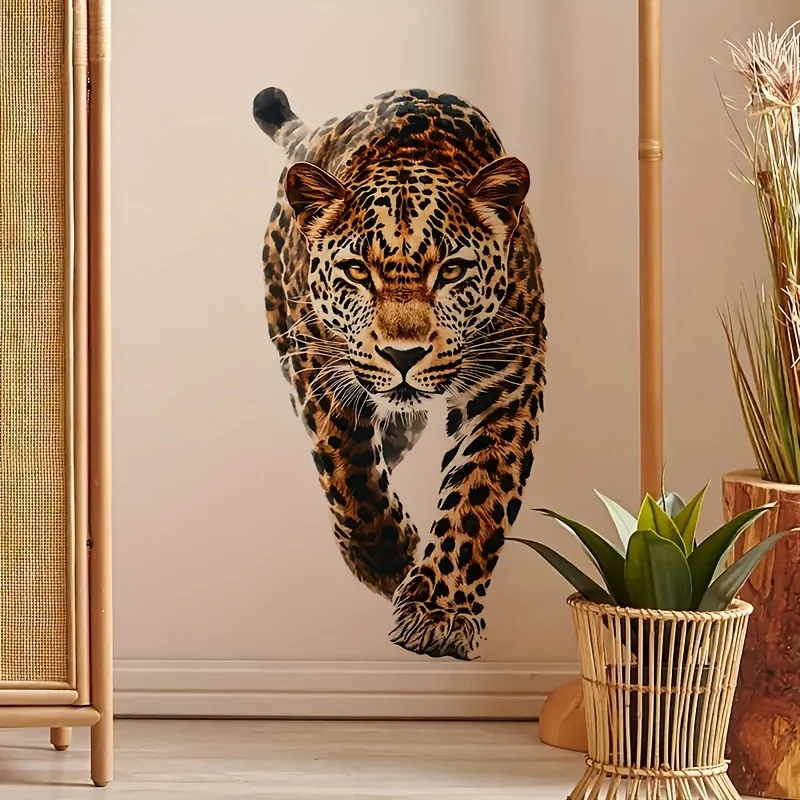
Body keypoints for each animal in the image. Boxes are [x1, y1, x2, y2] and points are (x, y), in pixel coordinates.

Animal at [252, 86, 546, 660]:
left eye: (451, 270)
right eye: (357, 271)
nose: (402, 355)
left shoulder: (509, 380)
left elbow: (479, 493)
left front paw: (440, 613)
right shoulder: (319, 365)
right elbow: (351, 475)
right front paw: (387, 563)